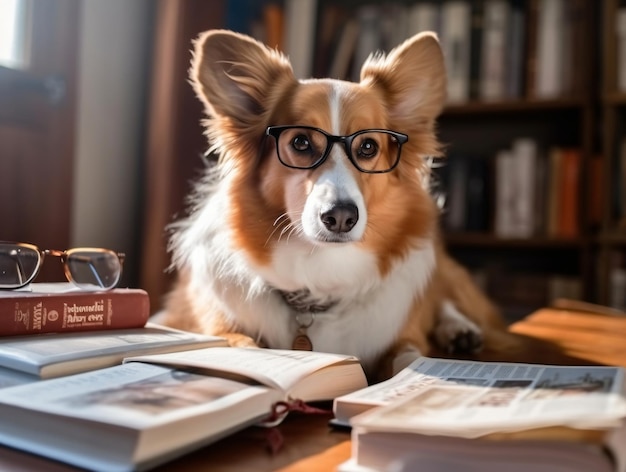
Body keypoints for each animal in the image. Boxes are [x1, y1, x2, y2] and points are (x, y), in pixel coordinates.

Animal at [160, 29, 508, 382]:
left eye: (368, 147)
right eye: (300, 142)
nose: (341, 217)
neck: (320, 276)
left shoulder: (401, 336)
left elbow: (409, 357)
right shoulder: (210, 323)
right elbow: (239, 345)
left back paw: (460, 329)